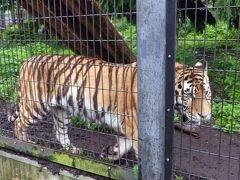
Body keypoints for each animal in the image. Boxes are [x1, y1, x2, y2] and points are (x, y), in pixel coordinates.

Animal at [10, 54, 211, 160]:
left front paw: (110, 154)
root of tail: (26, 61)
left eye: (207, 93)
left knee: (58, 131)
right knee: (19, 123)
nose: (205, 116)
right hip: (35, 105)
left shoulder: (126, 125)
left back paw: (72, 150)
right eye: (189, 95)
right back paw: (26, 144)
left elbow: (124, 145)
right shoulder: (136, 126)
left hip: (61, 110)